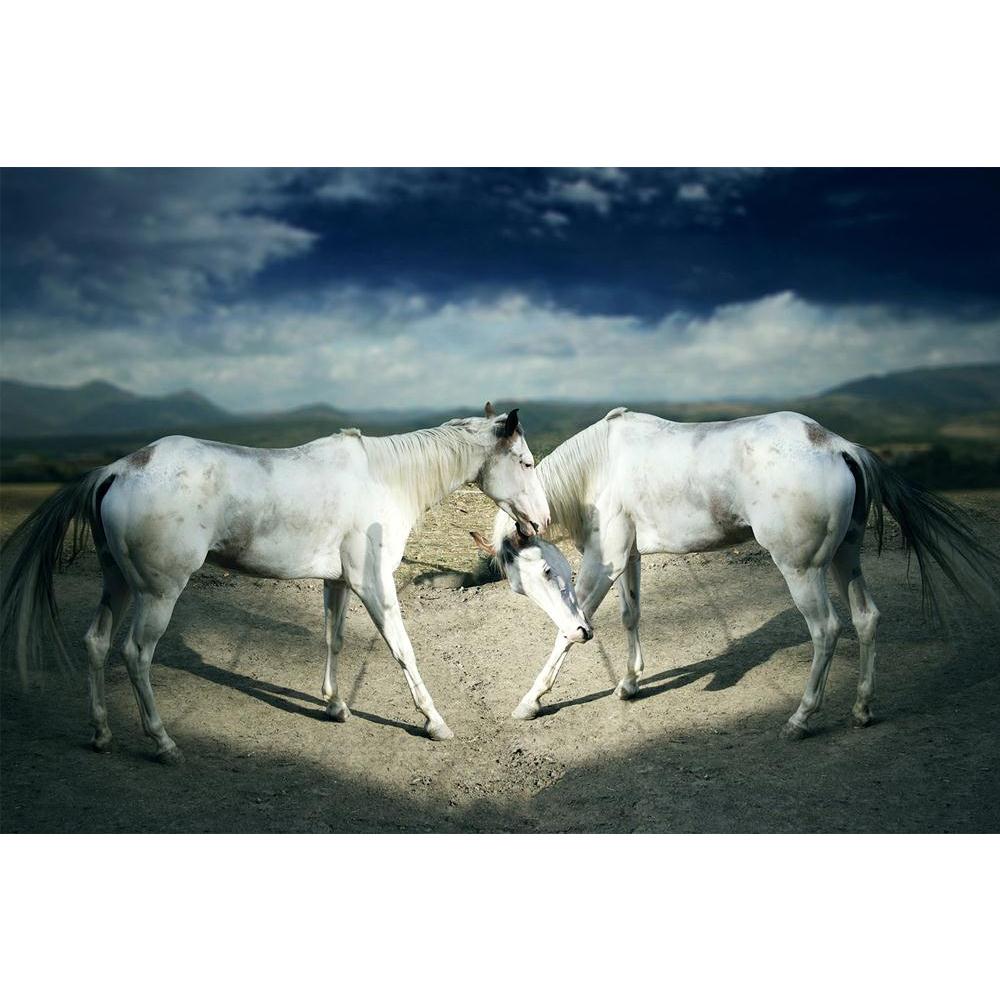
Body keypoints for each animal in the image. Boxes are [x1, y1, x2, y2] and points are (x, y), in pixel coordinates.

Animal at [1, 404, 563, 762]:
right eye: (525, 462)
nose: (542, 520)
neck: (382, 479)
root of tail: (118, 470)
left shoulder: (339, 583)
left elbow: (335, 639)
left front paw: (335, 706)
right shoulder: (374, 585)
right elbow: (403, 650)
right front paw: (434, 722)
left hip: (117, 583)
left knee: (95, 643)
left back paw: (101, 734)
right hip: (157, 595)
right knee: (136, 654)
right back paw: (163, 744)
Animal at [477, 407, 999, 738]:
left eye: (548, 570)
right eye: (522, 587)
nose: (583, 635)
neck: (601, 466)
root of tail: (836, 446)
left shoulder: (602, 563)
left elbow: (568, 628)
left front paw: (531, 701)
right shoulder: (630, 558)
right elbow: (632, 616)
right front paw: (628, 684)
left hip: (802, 570)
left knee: (827, 629)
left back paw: (800, 720)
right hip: (845, 558)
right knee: (867, 618)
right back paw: (861, 711)